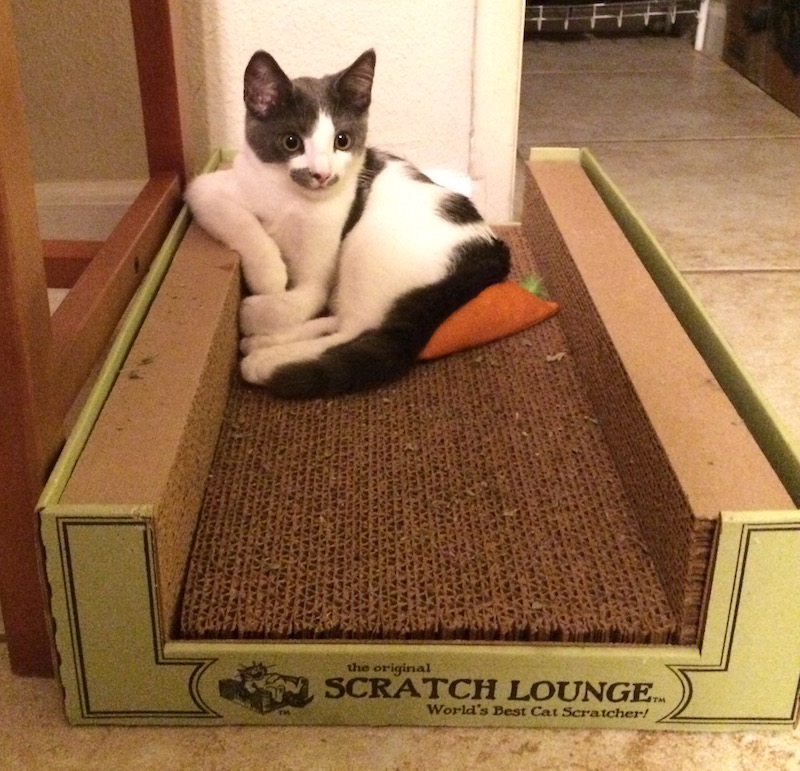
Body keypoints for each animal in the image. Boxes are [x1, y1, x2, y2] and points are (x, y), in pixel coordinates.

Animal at [187, 48, 510, 398]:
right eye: (291, 142)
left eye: (342, 141)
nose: (322, 174)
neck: (290, 199)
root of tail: (491, 250)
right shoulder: (209, 188)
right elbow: (240, 221)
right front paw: (269, 275)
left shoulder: (325, 252)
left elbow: (307, 297)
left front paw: (258, 307)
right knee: (340, 321)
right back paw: (264, 343)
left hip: (366, 244)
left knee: (355, 329)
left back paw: (268, 359)